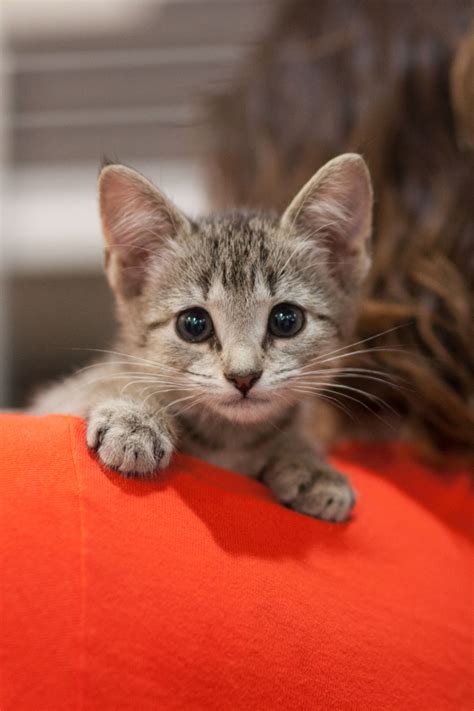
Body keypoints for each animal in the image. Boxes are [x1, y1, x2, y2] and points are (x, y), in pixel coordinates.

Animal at [32, 154, 374, 524]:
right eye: (194, 325)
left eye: (286, 320)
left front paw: (309, 462)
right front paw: (136, 417)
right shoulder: (56, 398)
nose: (244, 377)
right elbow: (98, 383)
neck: (229, 440)